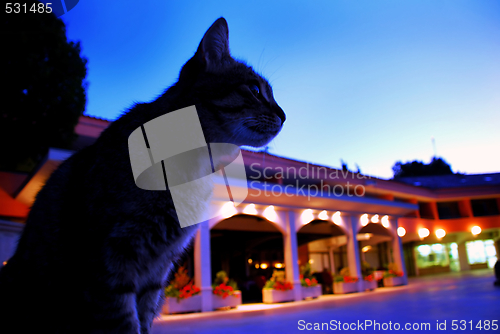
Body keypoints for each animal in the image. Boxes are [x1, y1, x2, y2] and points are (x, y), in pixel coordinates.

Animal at [0, 17, 286, 334]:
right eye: (255, 90)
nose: (285, 115)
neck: (194, 166)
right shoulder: (110, 262)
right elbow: (124, 322)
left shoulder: (157, 271)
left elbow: (144, 318)